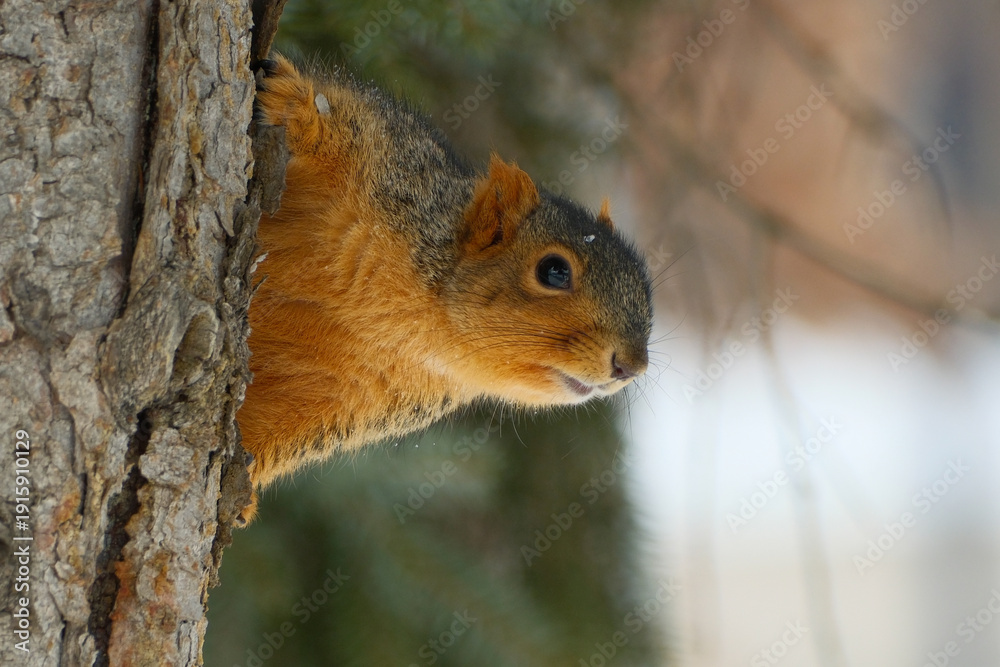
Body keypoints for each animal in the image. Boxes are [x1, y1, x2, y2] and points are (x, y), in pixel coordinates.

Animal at [236, 56, 652, 524]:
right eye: (555, 271)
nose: (631, 366)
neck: (419, 317)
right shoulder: (389, 162)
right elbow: (338, 123)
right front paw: (293, 100)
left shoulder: (339, 398)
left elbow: (273, 428)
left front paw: (243, 485)